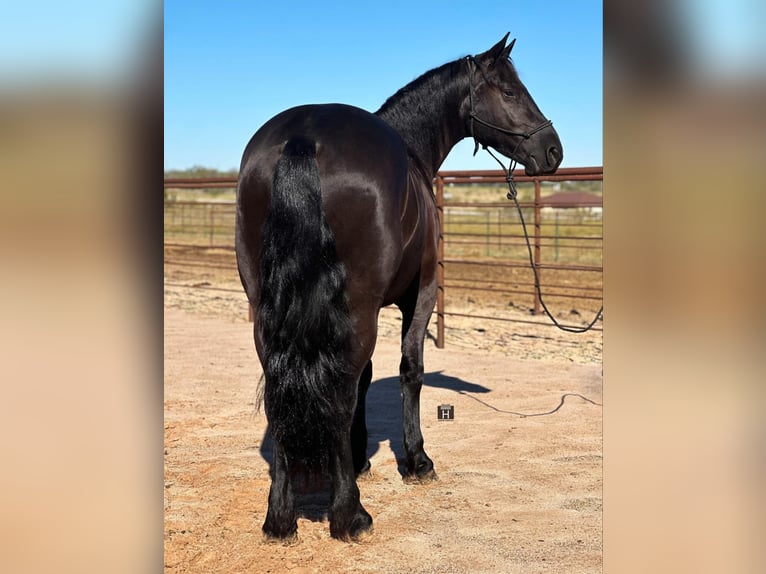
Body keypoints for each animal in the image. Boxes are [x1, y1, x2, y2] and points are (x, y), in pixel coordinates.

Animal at [235, 34, 562, 541]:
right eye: (510, 91)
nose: (552, 150)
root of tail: (303, 138)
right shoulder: (419, 295)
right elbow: (410, 371)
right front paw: (417, 460)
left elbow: (367, 377)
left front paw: (360, 457)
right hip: (356, 307)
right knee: (339, 391)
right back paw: (350, 515)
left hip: (268, 311)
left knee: (280, 387)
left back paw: (281, 518)